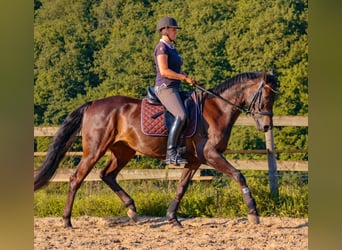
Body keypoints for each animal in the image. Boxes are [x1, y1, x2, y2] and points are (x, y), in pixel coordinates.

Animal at [34, 71, 278, 229]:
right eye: (266, 97)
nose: (267, 126)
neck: (216, 110)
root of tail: (93, 104)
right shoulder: (211, 155)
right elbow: (238, 175)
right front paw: (253, 212)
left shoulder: (194, 161)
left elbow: (181, 188)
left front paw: (172, 218)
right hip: (95, 150)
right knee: (76, 178)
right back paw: (67, 221)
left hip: (123, 151)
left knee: (107, 175)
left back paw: (132, 209)